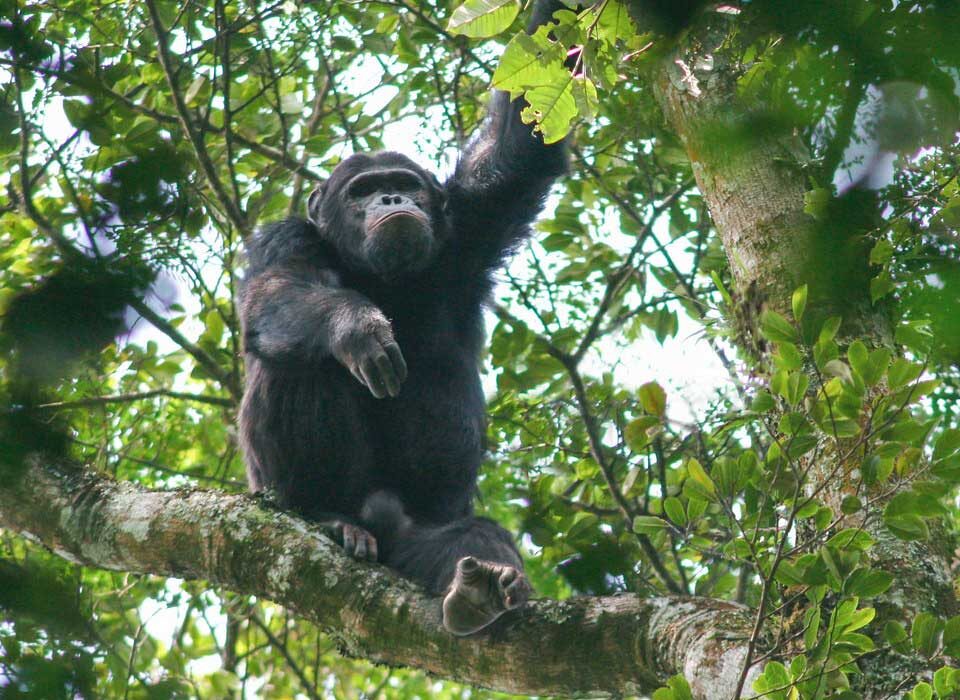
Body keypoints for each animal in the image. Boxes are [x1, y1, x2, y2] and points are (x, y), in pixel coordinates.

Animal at [239, 0, 568, 636]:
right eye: (363, 191)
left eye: (403, 185)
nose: (392, 201)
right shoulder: (284, 239)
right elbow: (276, 291)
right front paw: (356, 327)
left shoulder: (472, 222)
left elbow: (518, 147)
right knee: (297, 364)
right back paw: (331, 518)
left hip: (421, 539)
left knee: (471, 536)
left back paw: (482, 588)